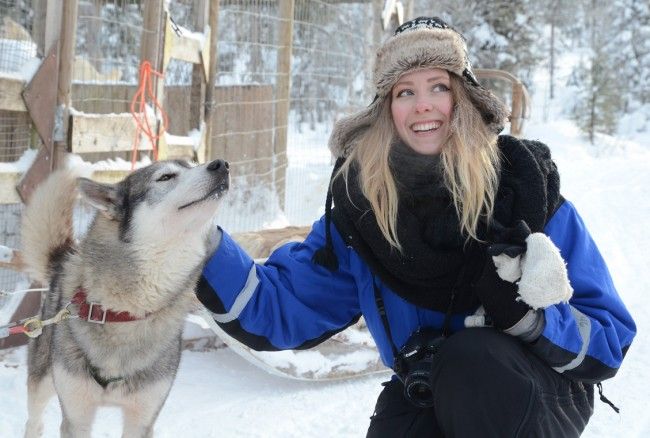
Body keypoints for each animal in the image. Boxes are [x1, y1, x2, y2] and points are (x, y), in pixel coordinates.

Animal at [21, 159, 229, 436]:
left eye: (194, 163)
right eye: (165, 177)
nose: (221, 164)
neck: (123, 313)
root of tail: (64, 259)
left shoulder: (142, 419)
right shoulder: (77, 416)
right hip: (42, 380)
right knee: (34, 421)